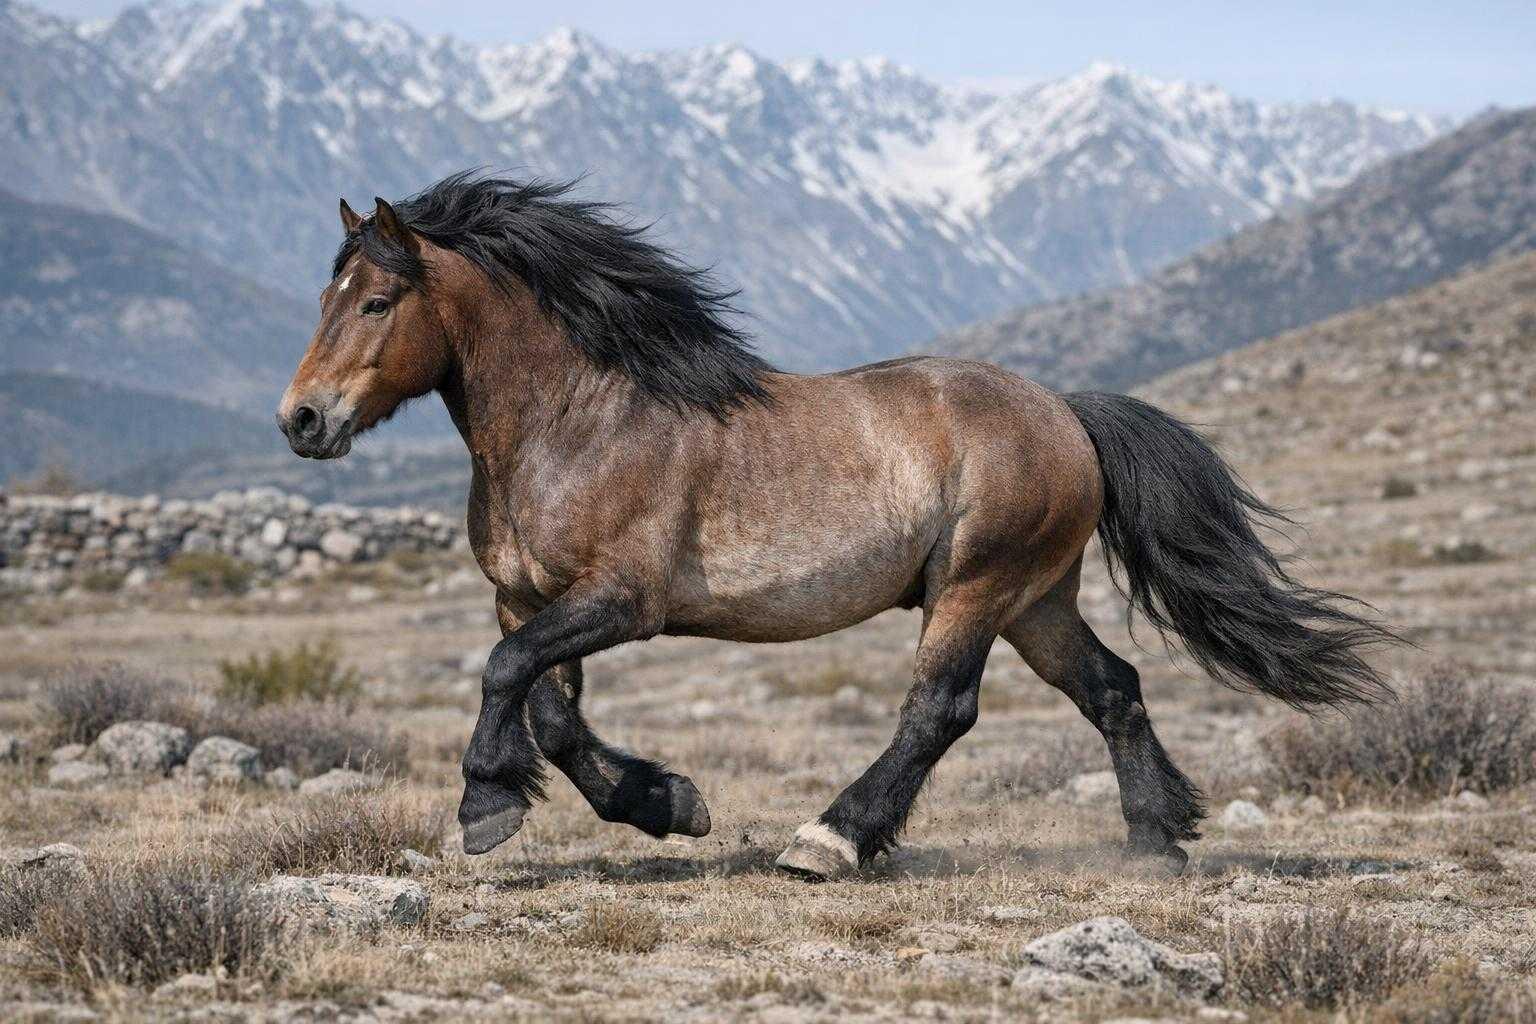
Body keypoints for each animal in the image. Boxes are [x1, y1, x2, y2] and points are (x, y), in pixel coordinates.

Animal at [277, 172, 1393, 879]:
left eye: (376, 301)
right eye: (325, 294)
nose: (302, 420)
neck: (579, 419)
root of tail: (1065, 413)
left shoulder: (621, 601)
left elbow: (507, 676)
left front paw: (486, 809)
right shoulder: (527, 598)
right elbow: (547, 710)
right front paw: (665, 802)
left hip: (977, 586)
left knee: (940, 710)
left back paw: (829, 841)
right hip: (1038, 599)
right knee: (1113, 688)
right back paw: (1158, 840)